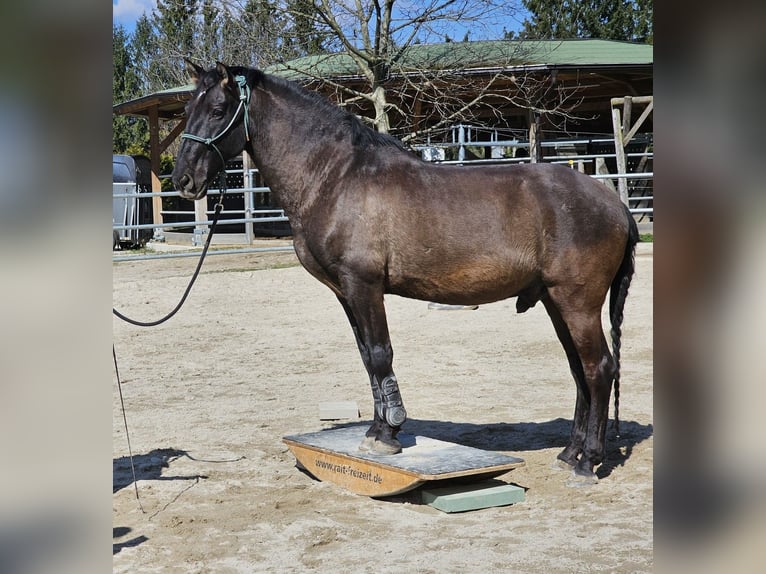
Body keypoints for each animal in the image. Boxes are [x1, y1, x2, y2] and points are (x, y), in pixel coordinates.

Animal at [172, 62, 638, 484]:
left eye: (218, 109)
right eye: (187, 109)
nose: (183, 179)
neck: (336, 177)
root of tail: (615, 204)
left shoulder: (364, 285)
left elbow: (381, 354)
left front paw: (389, 434)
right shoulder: (345, 292)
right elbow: (367, 358)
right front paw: (378, 429)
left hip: (578, 303)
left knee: (599, 369)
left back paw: (587, 462)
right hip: (555, 302)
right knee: (580, 371)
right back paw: (569, 453)